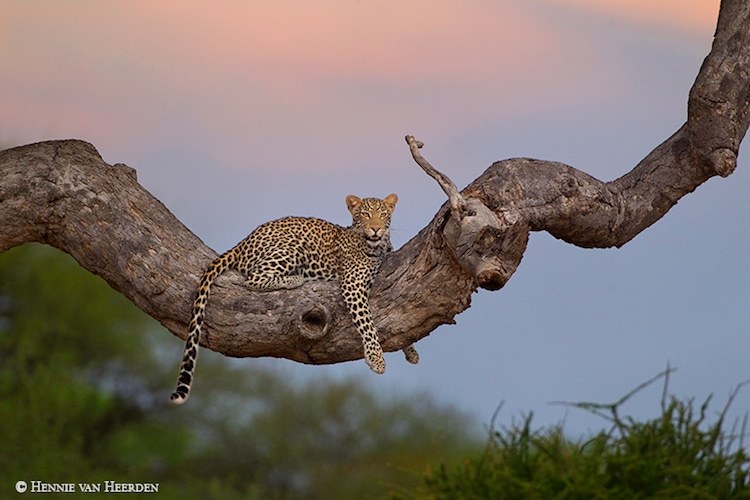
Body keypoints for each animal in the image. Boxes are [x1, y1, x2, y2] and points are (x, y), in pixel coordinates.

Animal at [170, 193, 420, 404]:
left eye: (384, 215)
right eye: (365, 215)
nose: (376, 229)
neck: (377, 246)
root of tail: (243, 242)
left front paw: (411, 351)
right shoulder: (352, 285)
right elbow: (368, 324)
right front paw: (376, 359)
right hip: (290, 248)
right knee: (252, 279)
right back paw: (295, 279)